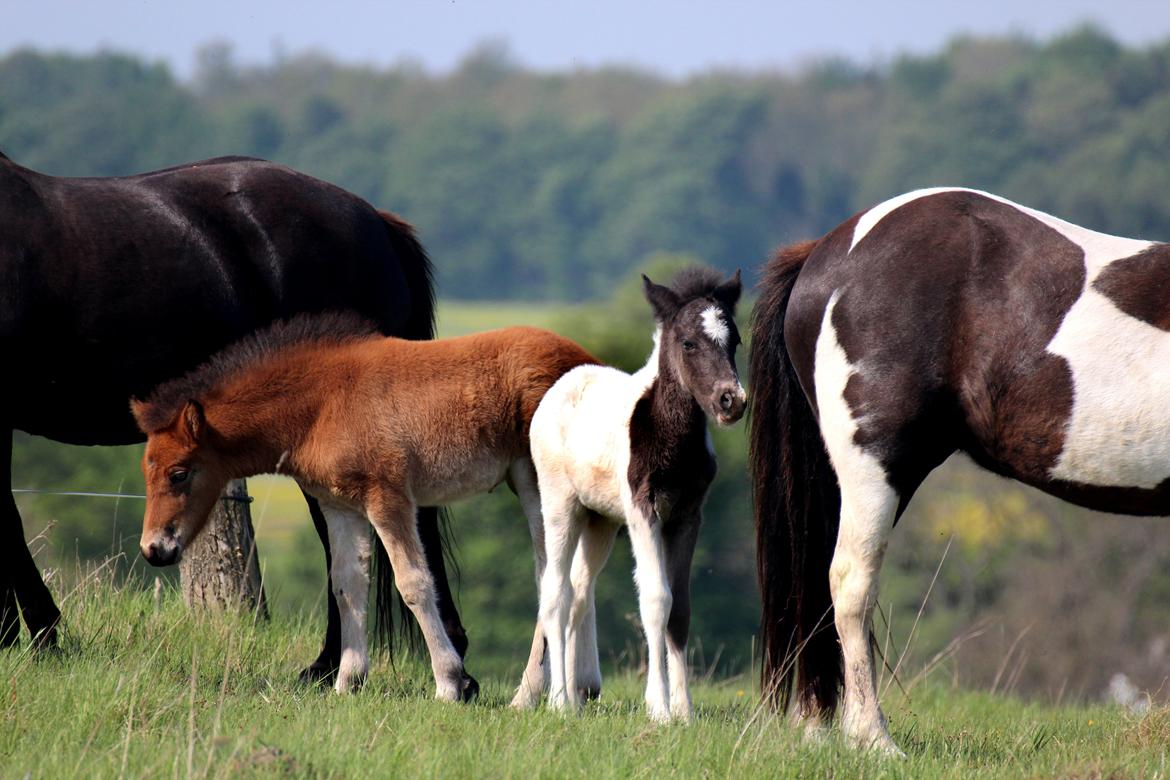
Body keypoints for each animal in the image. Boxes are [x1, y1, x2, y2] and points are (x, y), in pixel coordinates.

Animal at [132, 313, 599, 696]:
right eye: (145, 471)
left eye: (179, 473)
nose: (154, 549)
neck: (321, 404)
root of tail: (589, 362)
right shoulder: (340, 504)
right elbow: (346, 583)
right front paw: (347, 681)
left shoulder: (387, 495)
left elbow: (413, 583)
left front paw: (450, 683)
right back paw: (584, 687)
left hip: (535, 482)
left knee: (551, 576)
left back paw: (531, 693)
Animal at [526, 268, 744, 720]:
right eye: (688, 342)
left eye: (734, 341)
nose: (731, 401)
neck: (668, 434)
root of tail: (564, 385)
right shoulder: (644, 510)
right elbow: (656, 599)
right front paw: (658, 708)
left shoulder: (688, 515)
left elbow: (680, 607)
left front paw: (685, 711)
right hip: (559, 505)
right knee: (556, 593)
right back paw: (559, 702)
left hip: (600, 521)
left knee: (579, 591)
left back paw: (576, 695)